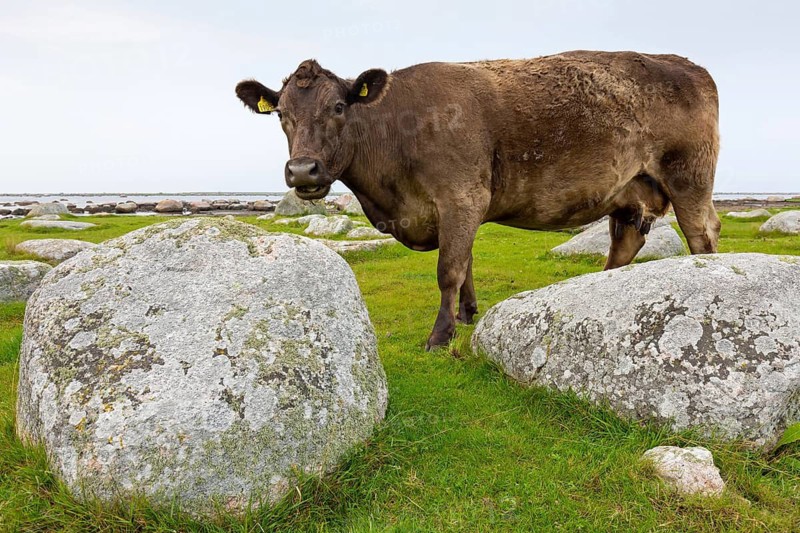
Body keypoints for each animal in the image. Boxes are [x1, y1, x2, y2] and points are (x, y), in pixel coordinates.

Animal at [235, 51, 720, 350]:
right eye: (281, 114)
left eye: (338, 107)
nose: (303, 170)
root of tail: (688, 65)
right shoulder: (459, 208)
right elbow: (466, 261)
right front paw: (467, 315)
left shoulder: (461, 196)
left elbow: (449, 268)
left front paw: (440, 335)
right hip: (628, 192)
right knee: (626, 244)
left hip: (689, 178)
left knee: (701, 234)